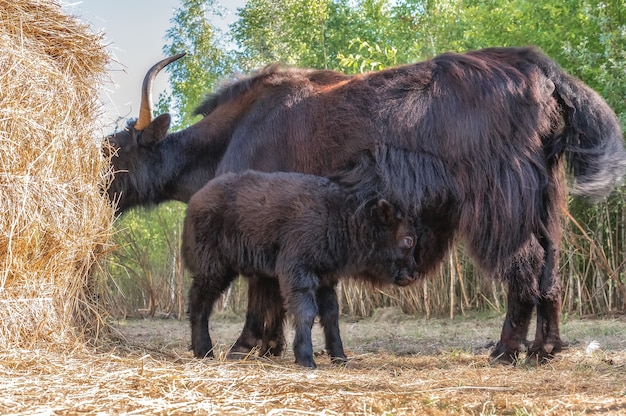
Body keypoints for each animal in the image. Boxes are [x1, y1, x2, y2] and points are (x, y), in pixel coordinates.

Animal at [183, 169, 416, 368]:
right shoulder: (298, 274)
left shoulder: (325, 280)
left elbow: (331, 316)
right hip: (214, 268)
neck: (340, 215)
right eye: (408, 240)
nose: (412, 275)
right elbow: (306, 312)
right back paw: (204, 351)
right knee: (199, 301)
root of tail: (197, 199)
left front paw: (340, 358)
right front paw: (306, 359)